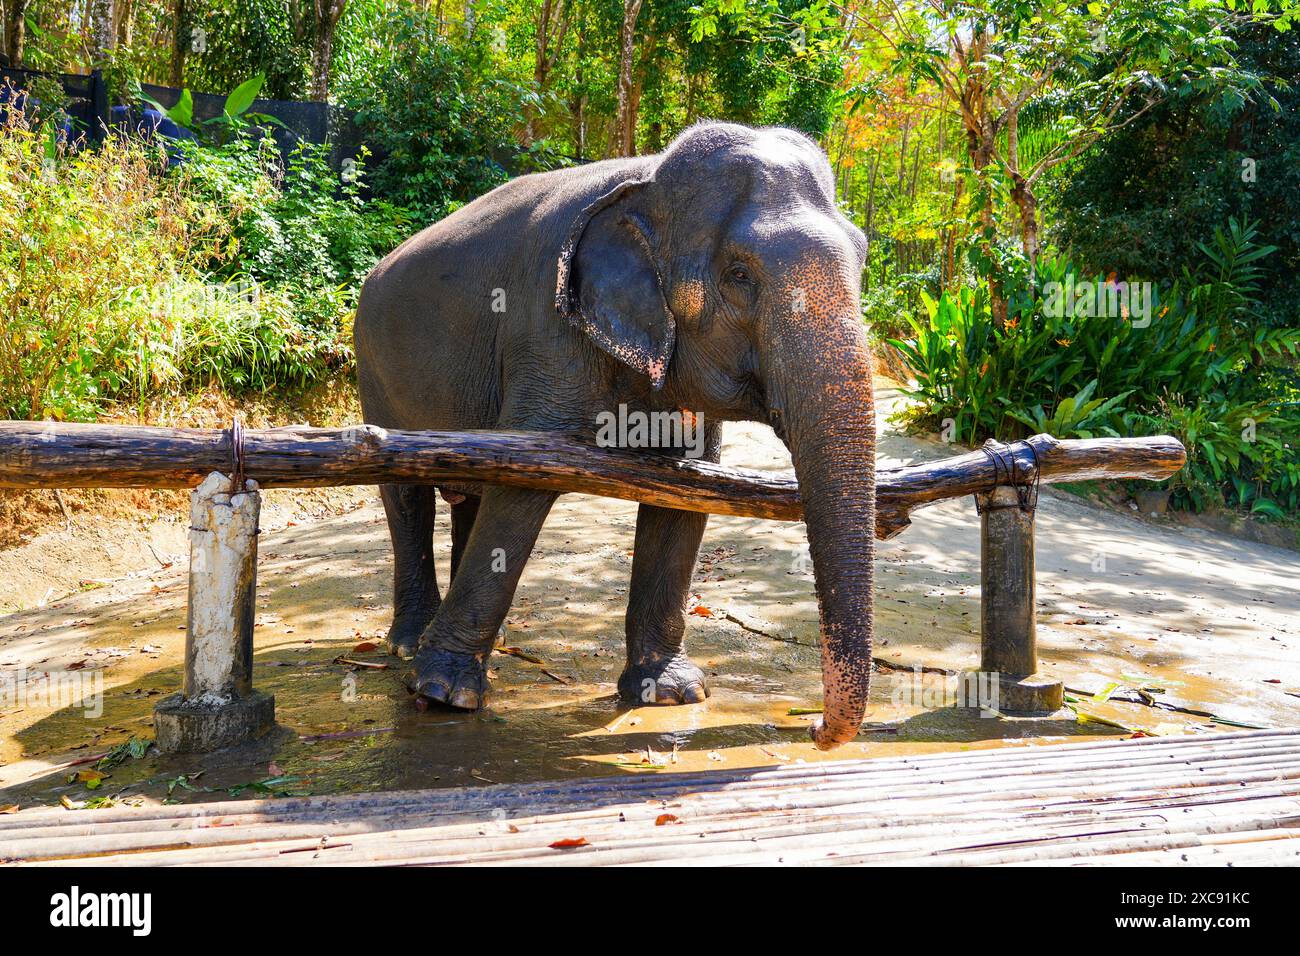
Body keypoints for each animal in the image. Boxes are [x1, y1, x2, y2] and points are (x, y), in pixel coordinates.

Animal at [356, 121, 873, 749]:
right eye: (739, 275)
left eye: (862, 258)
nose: (813, 725)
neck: (647, 177)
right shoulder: (546, 333)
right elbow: (521, 488)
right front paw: (442, 696)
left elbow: (686, 495)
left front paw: (670, 693)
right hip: (373, 369)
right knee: (408, 495)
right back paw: (410, 645)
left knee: (471, 492)